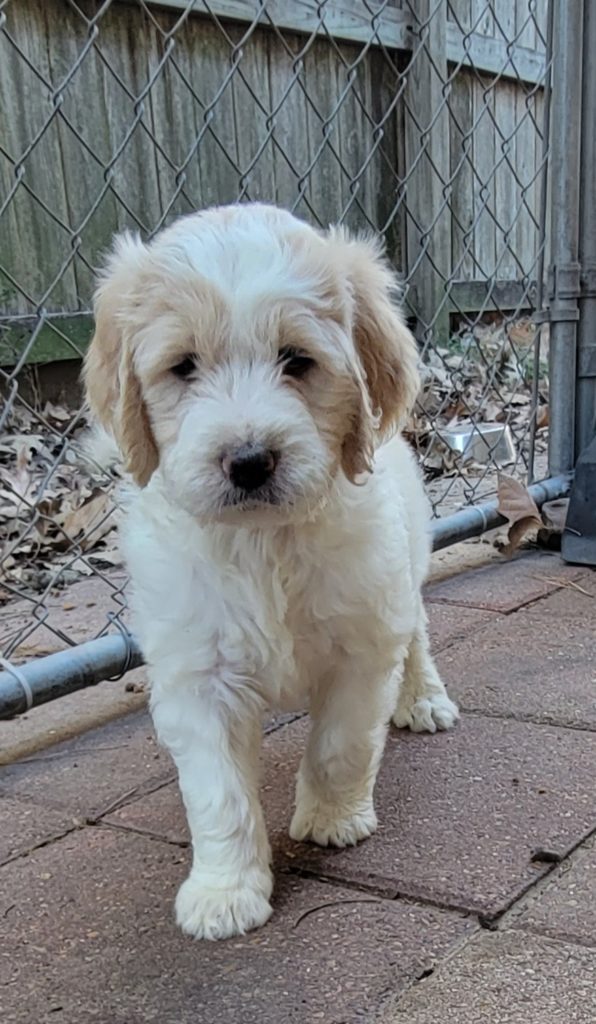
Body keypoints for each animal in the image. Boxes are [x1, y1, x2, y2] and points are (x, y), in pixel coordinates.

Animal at [82, 203, 458, 937]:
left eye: (298, 360)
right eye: (183, 367)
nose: (250, 461)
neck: (263, 544)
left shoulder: (362, 641)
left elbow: (341, 744)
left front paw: (333, 820)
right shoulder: (197, 672)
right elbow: (218, 792)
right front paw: (225, 891)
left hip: (408, 563)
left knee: (419, 635)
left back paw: (423, 698)